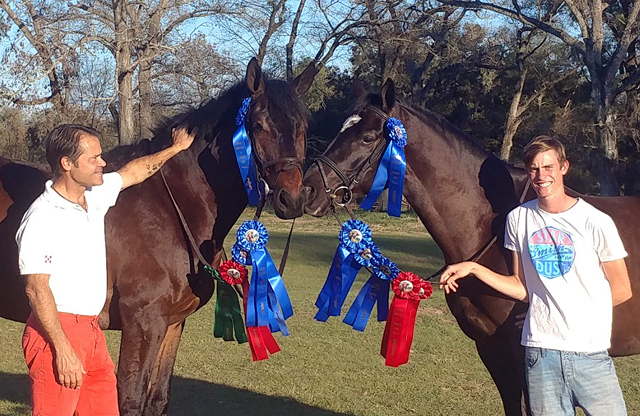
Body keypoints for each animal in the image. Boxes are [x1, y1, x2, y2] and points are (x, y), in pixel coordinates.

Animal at [0, 58, 318, 416]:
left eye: (303, 126)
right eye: (259, 124)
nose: (292, 198)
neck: (170, 207)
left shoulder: (171, 325)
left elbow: (157, 399)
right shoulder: (143, 324)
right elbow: (131, 399)